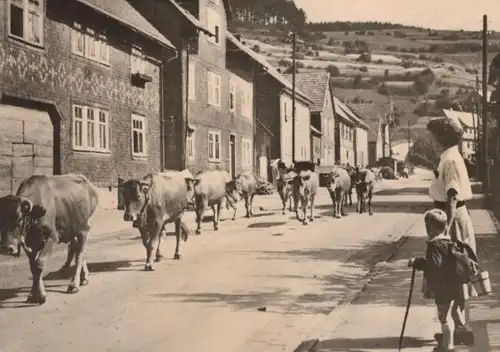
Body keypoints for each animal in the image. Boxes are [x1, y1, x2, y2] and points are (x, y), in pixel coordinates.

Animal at [0, 175, 98, 304]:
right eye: (0, 219)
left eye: (19, 218)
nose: (7, 248)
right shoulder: (30, 243)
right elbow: (34, 267)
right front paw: (35, 294)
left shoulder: (52, 238)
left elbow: (40, 263)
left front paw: (40, 296)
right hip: (72, 230)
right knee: (76, 248)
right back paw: (84, 277)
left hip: (84, 228)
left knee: (79, 255)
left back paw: (74, 284)